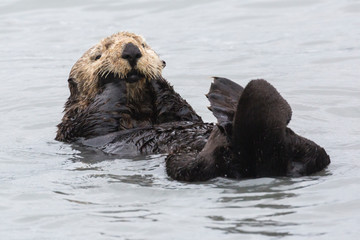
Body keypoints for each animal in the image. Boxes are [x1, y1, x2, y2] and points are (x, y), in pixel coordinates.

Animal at [57, 31, 332, 182]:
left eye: (145, 45)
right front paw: (112, 76)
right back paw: (223, 124)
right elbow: (97, 115)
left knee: (315, 156)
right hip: (184, 163)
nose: (132, 50)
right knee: (203, 166)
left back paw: (227, 108)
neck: (136, 113)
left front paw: (156, 74)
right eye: (97, 55)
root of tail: (262, 157)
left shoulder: (181, 114)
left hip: (310, 151)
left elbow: (179, 108)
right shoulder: (77, 127)